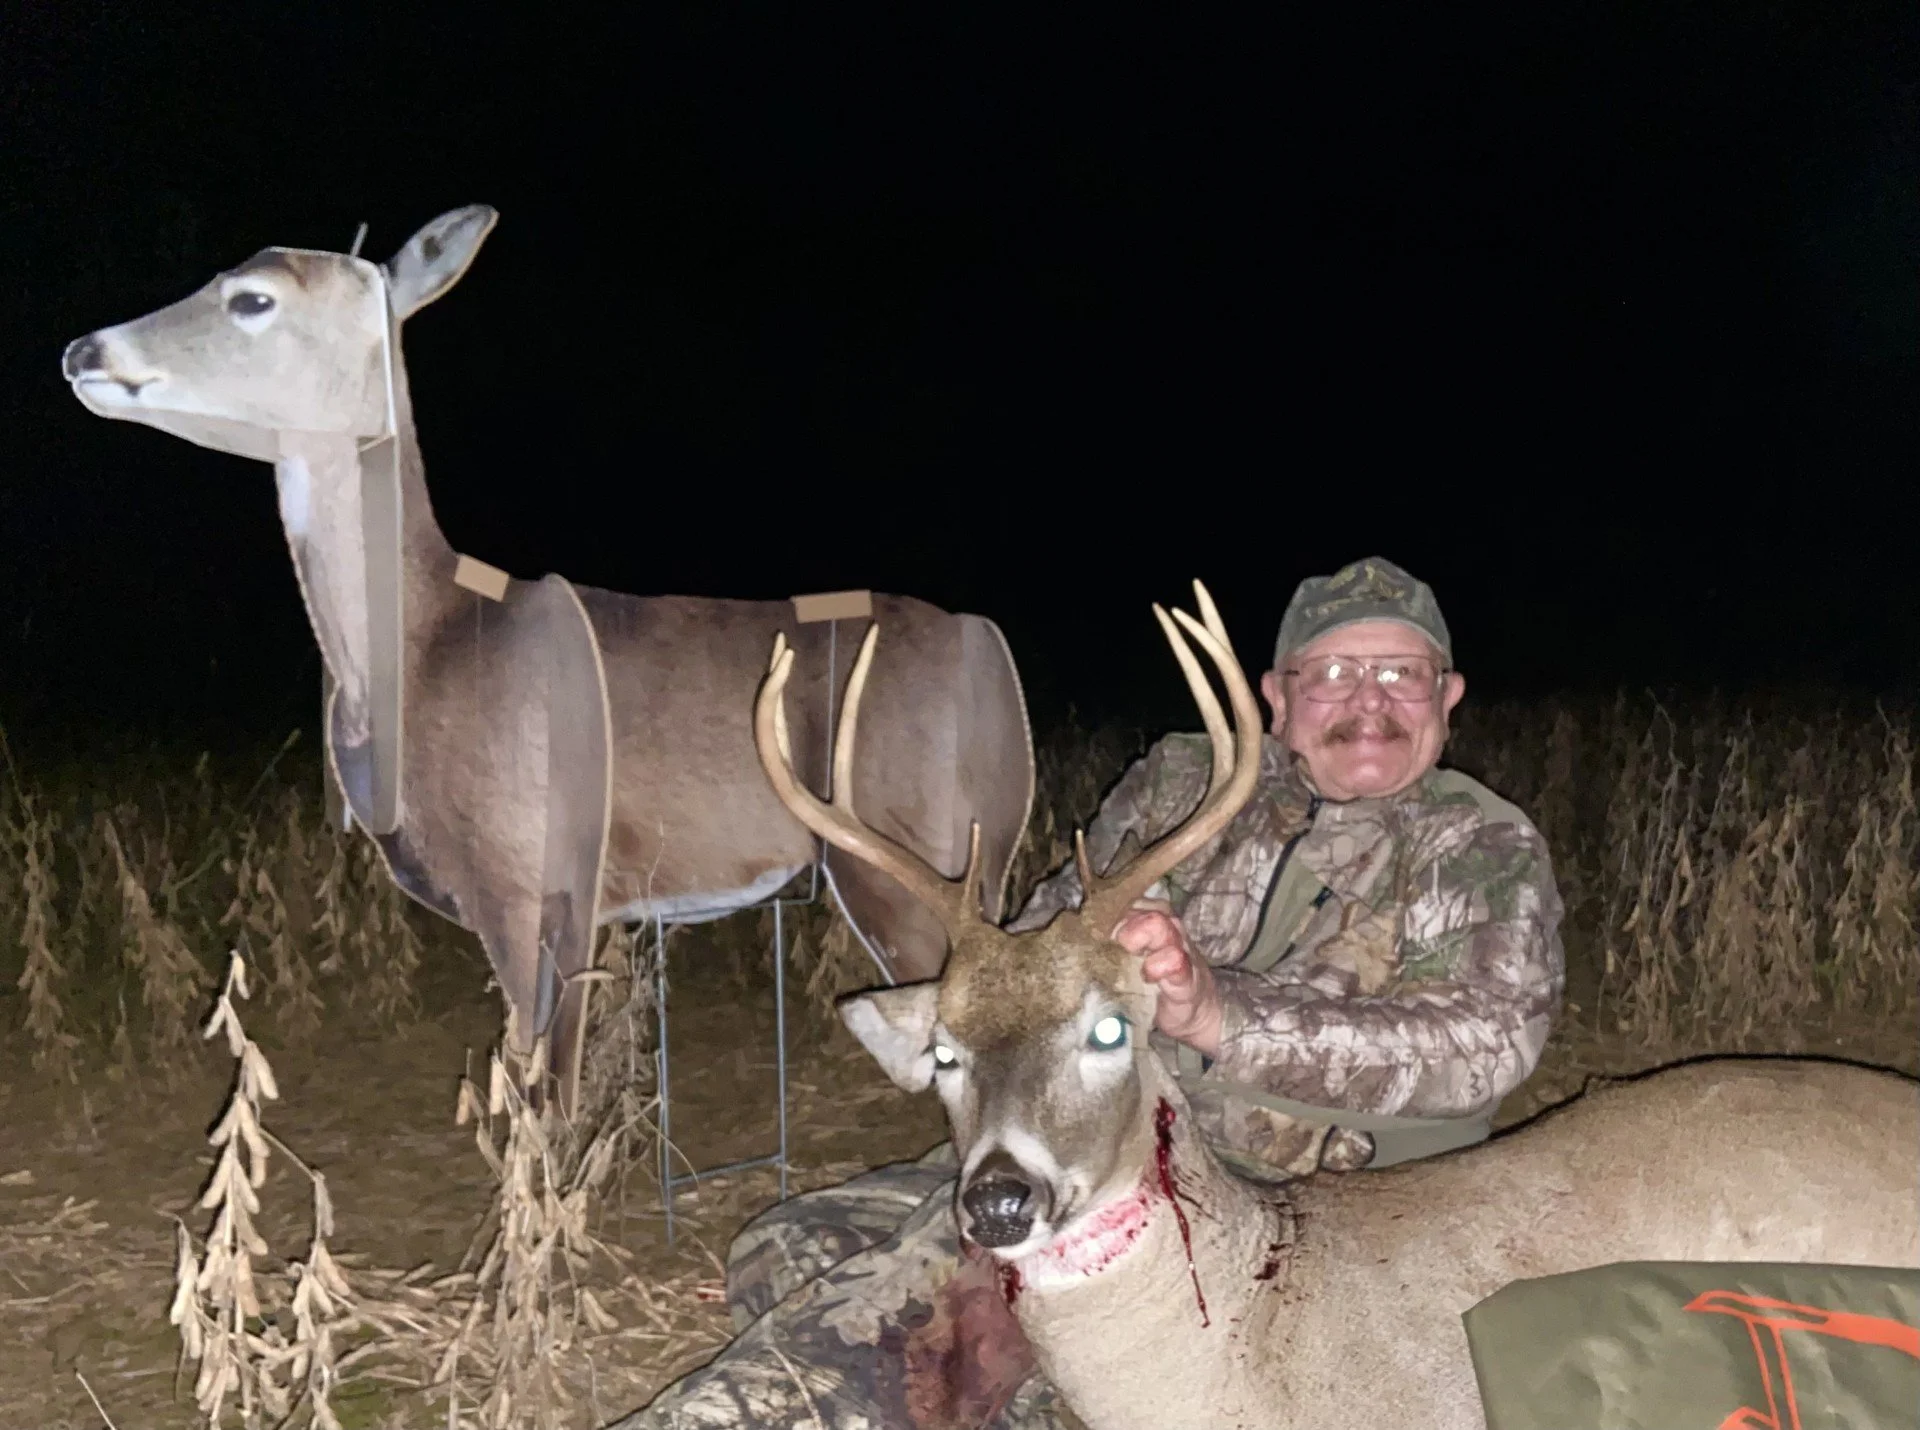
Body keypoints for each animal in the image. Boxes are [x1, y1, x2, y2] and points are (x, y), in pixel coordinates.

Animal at [61, 206, 1035, 1112]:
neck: (425, 647)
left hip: (908, 849)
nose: (82, 349)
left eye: (253, 298)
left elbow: (540, 1097)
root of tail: (990, 651)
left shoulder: (522, 877)